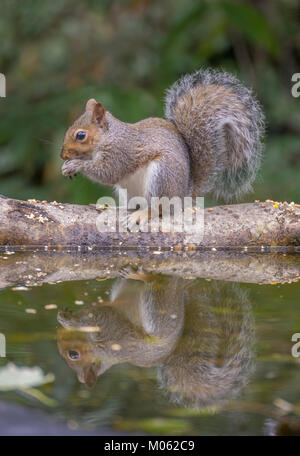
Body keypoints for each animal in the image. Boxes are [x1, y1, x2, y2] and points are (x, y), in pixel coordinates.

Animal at [61, 67, 264, 223]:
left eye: (81, 135)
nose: (63, 155)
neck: (109, 137)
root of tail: (183, 195)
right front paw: (67, 166)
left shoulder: (121, 152)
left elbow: (108, 172)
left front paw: (76, 165)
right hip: (129, 190)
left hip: (162, 175)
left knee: (160, 208)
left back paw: (143, 214)